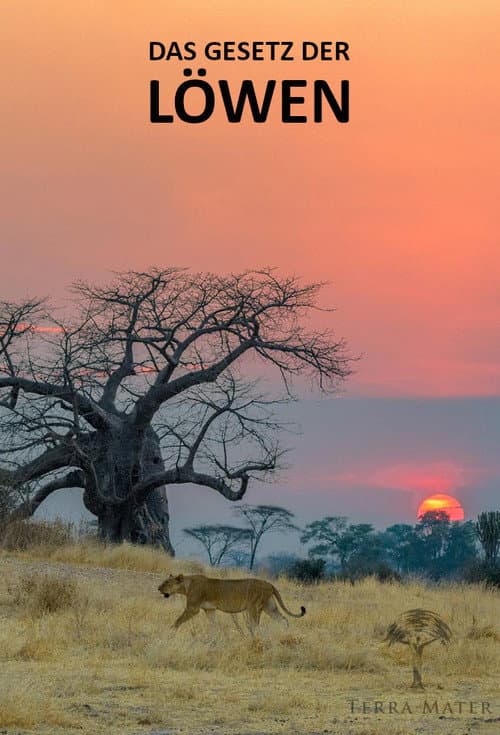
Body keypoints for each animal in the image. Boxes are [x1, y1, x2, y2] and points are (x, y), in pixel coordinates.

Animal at [157, 573, 306, 633]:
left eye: (167, 583)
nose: (158, 588)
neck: (187, 586)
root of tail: (269, 584)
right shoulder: (210, 610)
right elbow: (213, 626)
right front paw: (213, 640)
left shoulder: (193, 608)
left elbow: (178, 621)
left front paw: (170, 633)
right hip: (269, 607)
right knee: (283, 619)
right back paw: (284, 633)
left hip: (253, 607)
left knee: (255, 626)